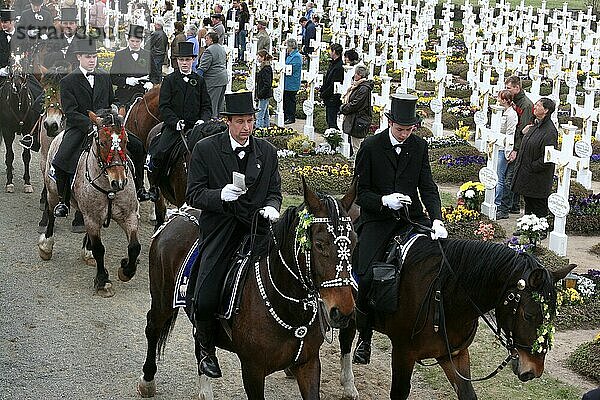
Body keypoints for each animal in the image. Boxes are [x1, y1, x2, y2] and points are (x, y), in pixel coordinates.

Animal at [39, 108, 141, 296]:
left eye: (125, 141)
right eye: (102, 142)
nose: (119, 182)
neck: (109, 188)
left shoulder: (128, 216)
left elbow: (134, 247)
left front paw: (126, 270)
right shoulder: (92, 218)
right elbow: (100, 249)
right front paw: (102, 281)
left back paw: (87, 251)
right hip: (53, 193)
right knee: (51, 214)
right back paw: (46, 246)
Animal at [138, 182, 358, 400]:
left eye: (355, 241)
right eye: (319, 244)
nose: (343, 311)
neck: (287, 308)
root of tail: (179, 214)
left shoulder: (309, 364)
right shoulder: (253, 370)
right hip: (163, 299)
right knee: (153, 327)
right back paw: (147, 381)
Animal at [336, 238, 576, 400]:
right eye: (528, 315)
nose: (534, 371)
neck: (443, 297)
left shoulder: (454, 355)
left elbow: (467, 393)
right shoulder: (403, 353)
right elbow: (399, 393)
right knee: (345, 340)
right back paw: (349, 384)